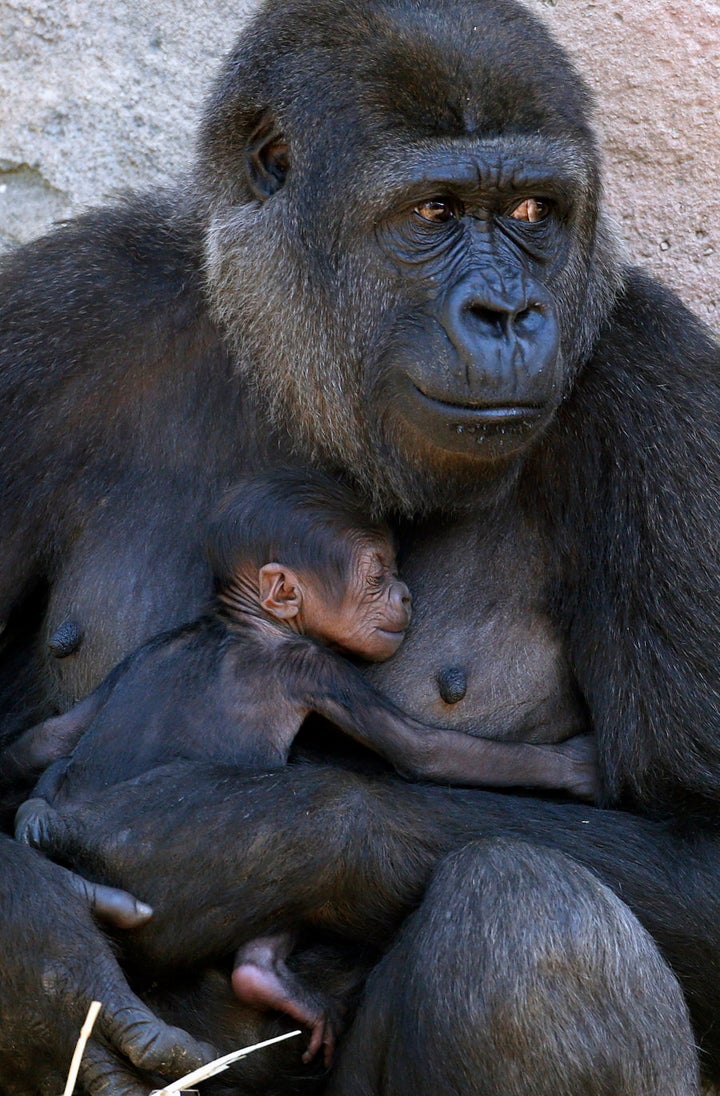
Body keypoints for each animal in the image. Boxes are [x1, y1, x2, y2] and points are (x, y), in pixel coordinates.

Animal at [12, 469, 596, 1060]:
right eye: (378, 575)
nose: (406, 594)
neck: (245, 622)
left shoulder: (144, 654)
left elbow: (57, 731)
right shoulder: (315, 665)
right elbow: (422, 749)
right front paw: (574, 766)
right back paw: (262, 973)